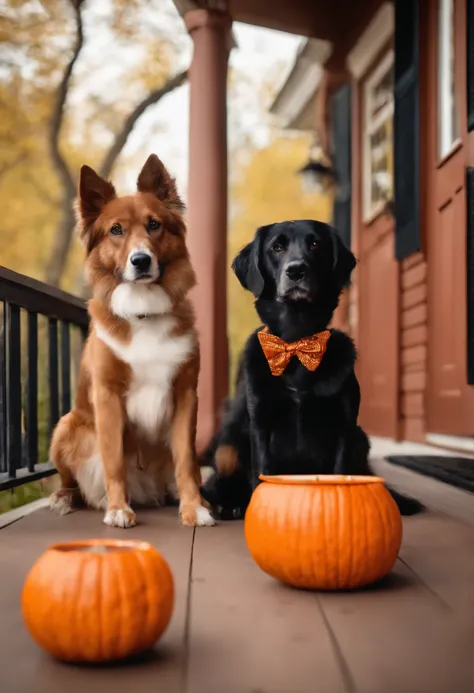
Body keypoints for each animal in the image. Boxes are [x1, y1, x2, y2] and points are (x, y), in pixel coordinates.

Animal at [48, 154, 215, 528]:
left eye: (154, 225)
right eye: (116, 230)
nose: (140, 260)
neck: (143, 311)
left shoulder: (185, 395)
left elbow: (186, 461)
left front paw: (193, 507)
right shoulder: (107, 396)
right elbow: (114, 461)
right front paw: (118, 509)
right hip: (67, 425)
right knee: (70, 481)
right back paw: (64, 499)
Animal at [200, 219, 422, 516]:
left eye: (316, 244)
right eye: (277, 247)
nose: (296, 270)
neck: (297, 342)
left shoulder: (344, 425)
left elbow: (341, 474)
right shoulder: (261, 422)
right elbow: (261, 473)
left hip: (360, 438)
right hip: (230, 441)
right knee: (216, 481)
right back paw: (230, 503)